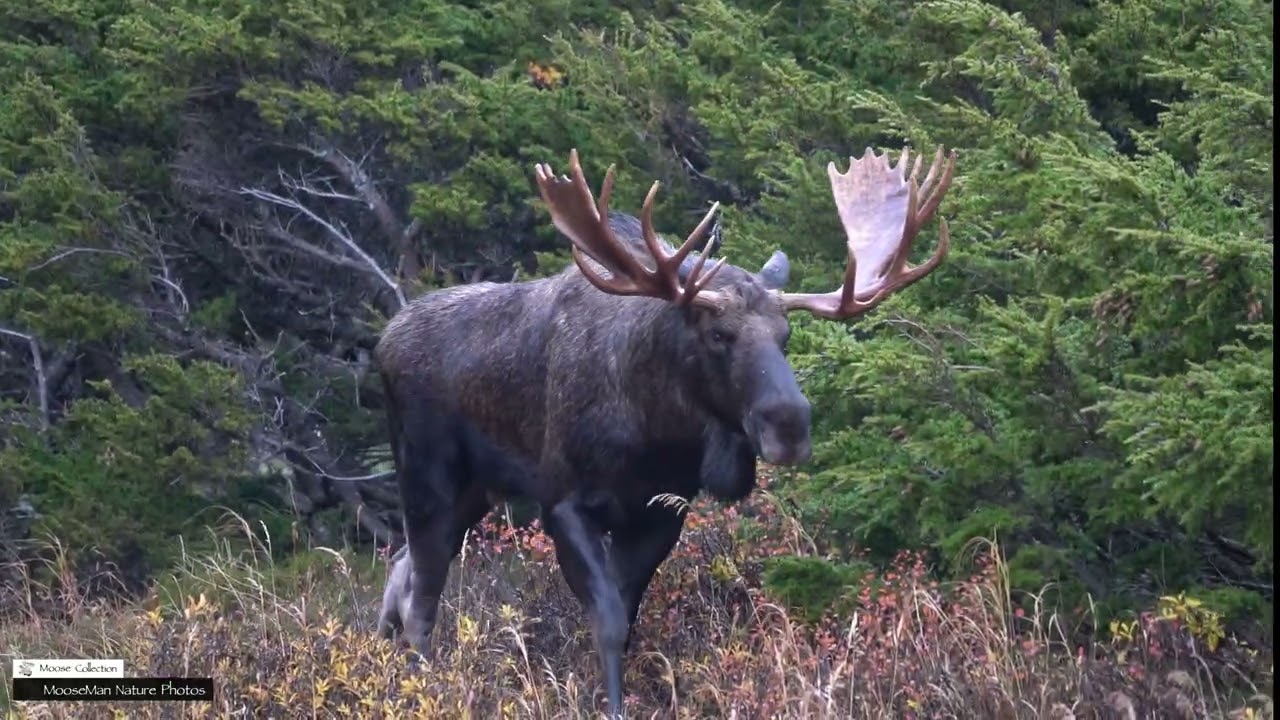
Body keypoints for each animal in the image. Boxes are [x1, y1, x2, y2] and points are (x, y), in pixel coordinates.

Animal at [373, 144, 957, 717]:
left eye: (785, 334)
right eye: (719, 334)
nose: (790, 425)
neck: (654, 429)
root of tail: (383, 338)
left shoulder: (659, 513)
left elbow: (628, 616)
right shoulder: (562, 502)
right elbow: (608, 621)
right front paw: (609, 707)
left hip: (477, 489)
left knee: (402, 568)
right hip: (427, 473)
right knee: (422, 591)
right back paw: (423, 687)